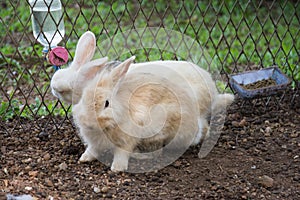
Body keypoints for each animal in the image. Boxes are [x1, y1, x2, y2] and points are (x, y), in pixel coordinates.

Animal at [72, 55, 234, 171]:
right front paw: (83, 159)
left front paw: (117, 168)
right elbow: (92, 150)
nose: (87, 123)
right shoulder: (94, 144)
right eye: (83, 98)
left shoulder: (126, 140)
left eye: (107, 103)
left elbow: (121, 153)